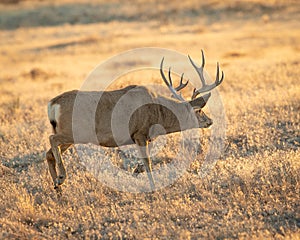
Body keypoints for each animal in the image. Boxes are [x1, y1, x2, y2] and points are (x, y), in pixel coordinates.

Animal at [46, 50, 223, 193]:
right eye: (199, 110)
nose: (210, 121)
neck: (159, 113)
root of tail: (53, 103)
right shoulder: (140, 133)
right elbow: (148, 162)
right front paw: (153, 188)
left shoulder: (145, 137)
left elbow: (143, 163)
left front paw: (136, 172)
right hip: (74, 132)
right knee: (52, 139)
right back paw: (61, 177)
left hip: (70, 135)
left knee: (49, 153)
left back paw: (57, 188)